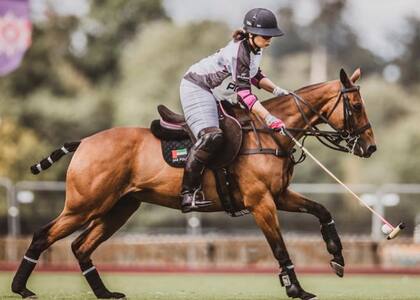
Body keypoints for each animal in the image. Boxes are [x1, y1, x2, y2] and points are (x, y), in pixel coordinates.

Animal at [11, 68, 376, 300]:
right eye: (357, 106)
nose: (370, 147)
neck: (270, 134)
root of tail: (84, 142)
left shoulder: (280, 195)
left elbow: (322, 210)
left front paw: (337, 258)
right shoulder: (260, 201)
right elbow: (279, 247)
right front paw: (295, 288)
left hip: (120, 207)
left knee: (80, 246)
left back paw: (105, 293)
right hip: (85, 204)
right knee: (44, 235)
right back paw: (21, 288)